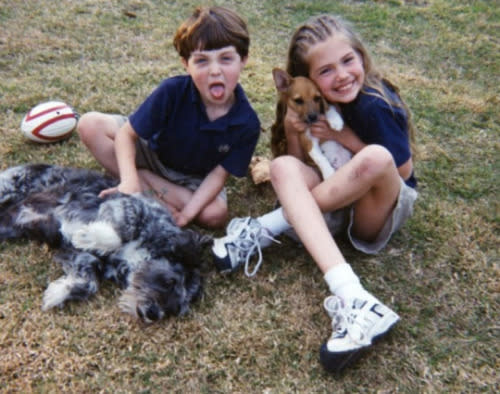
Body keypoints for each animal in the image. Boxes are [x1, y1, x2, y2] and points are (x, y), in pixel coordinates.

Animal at [0, 163, 210, 324]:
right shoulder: (125, 205)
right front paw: (89, 237)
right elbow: (122, 230)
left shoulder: (80, 256)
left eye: (178, 307)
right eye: (170, 282)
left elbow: (89, 281)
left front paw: (59, 292)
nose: (152, 315)